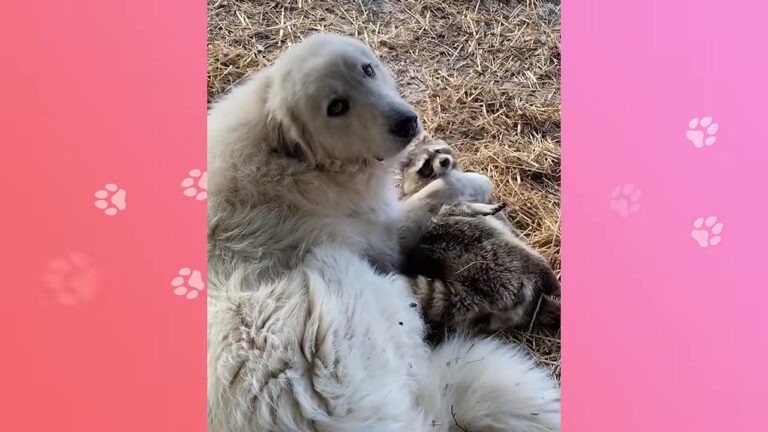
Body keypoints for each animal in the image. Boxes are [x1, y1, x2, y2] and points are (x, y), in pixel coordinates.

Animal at [399, 138, 561, 342]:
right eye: (426, 165)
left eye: (439, 151)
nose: (444, 161)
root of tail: (484, 297)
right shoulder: (433, 201)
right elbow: (451, 209)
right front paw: (473, 207)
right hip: (501, 258)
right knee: (535, 264)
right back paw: (555, 285)